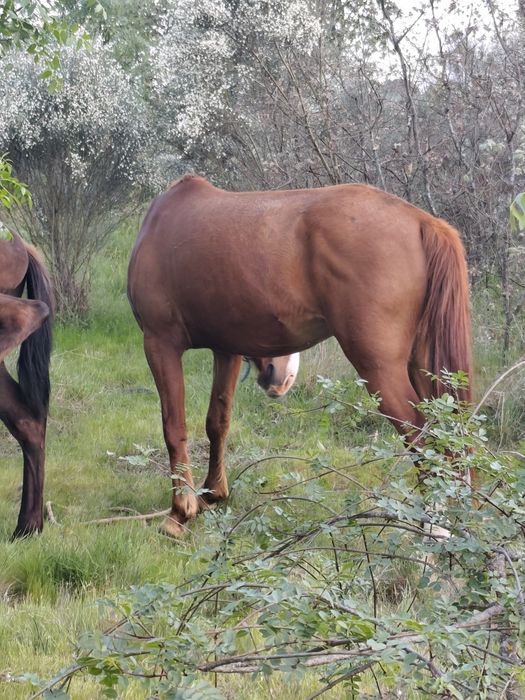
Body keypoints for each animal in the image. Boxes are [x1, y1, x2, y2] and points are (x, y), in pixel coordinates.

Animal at [127, 175, 471, 537]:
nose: (281, 375)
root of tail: (421, 222)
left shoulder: (160, 344)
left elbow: (173, 426)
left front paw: (180, 512)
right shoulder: (226, 350)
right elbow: (217, 422)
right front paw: (212, 493)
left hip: (381, 371)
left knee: (429, 445)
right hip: (424, 368)